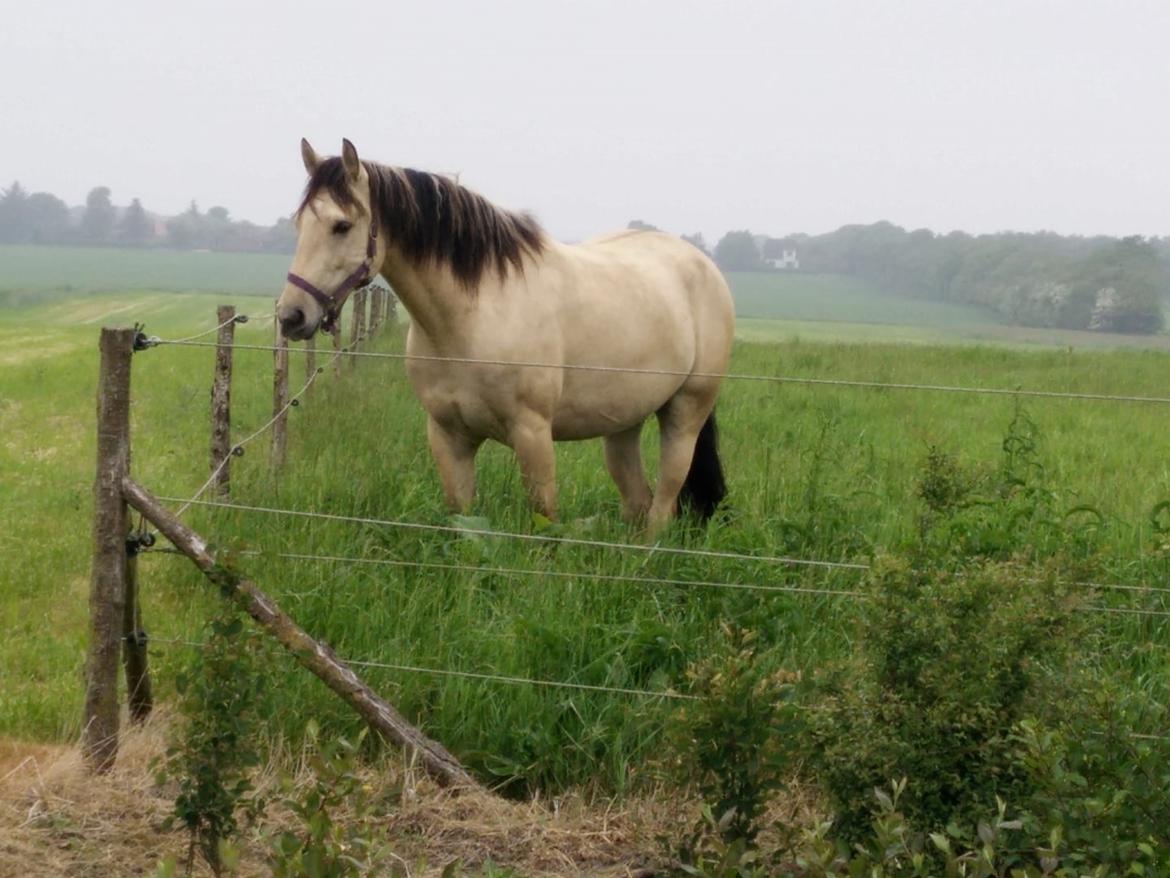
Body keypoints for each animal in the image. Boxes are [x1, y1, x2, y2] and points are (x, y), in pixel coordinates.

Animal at [276, 139, 730, 536]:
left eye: (342, 225)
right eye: (299, 224)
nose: (291, 316)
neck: (472, 319)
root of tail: (703, 266)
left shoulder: (533, 436)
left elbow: (543, 520)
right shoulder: (449, 437)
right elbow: (462, 517)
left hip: (685, 414)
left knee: (663, 505)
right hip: (624, 422)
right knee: (637, 501)